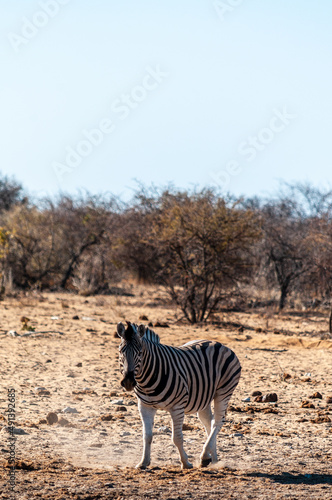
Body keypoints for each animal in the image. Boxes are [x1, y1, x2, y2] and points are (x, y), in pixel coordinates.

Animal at [116, 320, 241, 468]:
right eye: (120, 352)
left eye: (140, 353)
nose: (128, 382)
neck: (147, 381)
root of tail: (219, 344)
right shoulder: (145, 406)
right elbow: (147, 436)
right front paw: (143, 462)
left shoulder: (177, 407)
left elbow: (177, 438)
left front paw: (185, 462)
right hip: (204, 397)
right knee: (208, 422)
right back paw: (214, 458)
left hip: (224, 392)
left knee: (217, 421)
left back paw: (205, 456)